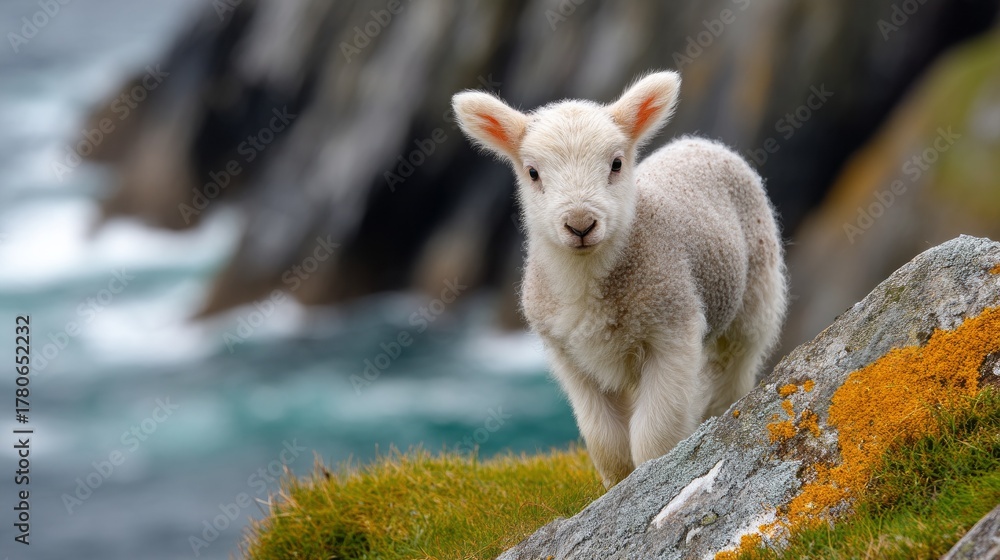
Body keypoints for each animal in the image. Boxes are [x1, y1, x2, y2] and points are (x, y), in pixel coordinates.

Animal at [451, 71, 787, 488]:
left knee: (731, 370)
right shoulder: (569, 357)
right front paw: (618, 485)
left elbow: (654, 436)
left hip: (754, 299)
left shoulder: (672, 331)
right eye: (532, 172)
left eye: (615, 164)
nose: (580, 224)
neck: (588, 281)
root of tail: (701, 143)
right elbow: (605, 441)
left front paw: (652, 476)